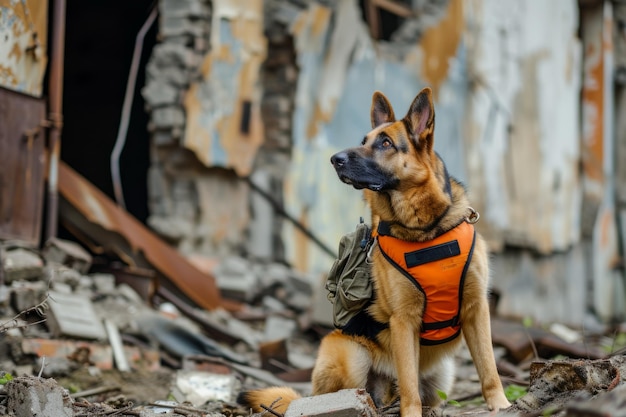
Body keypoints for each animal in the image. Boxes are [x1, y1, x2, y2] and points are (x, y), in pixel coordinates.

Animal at [236, 86, 510, 414]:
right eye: (363, 140)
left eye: (386, 143)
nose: (335, 159)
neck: (425, 231)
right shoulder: (403, 321)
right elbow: (409, 384)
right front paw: (411, 413)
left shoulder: (476, 309)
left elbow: (489, 367)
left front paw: (501, 404)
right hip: (353, 357)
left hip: (443, 373)